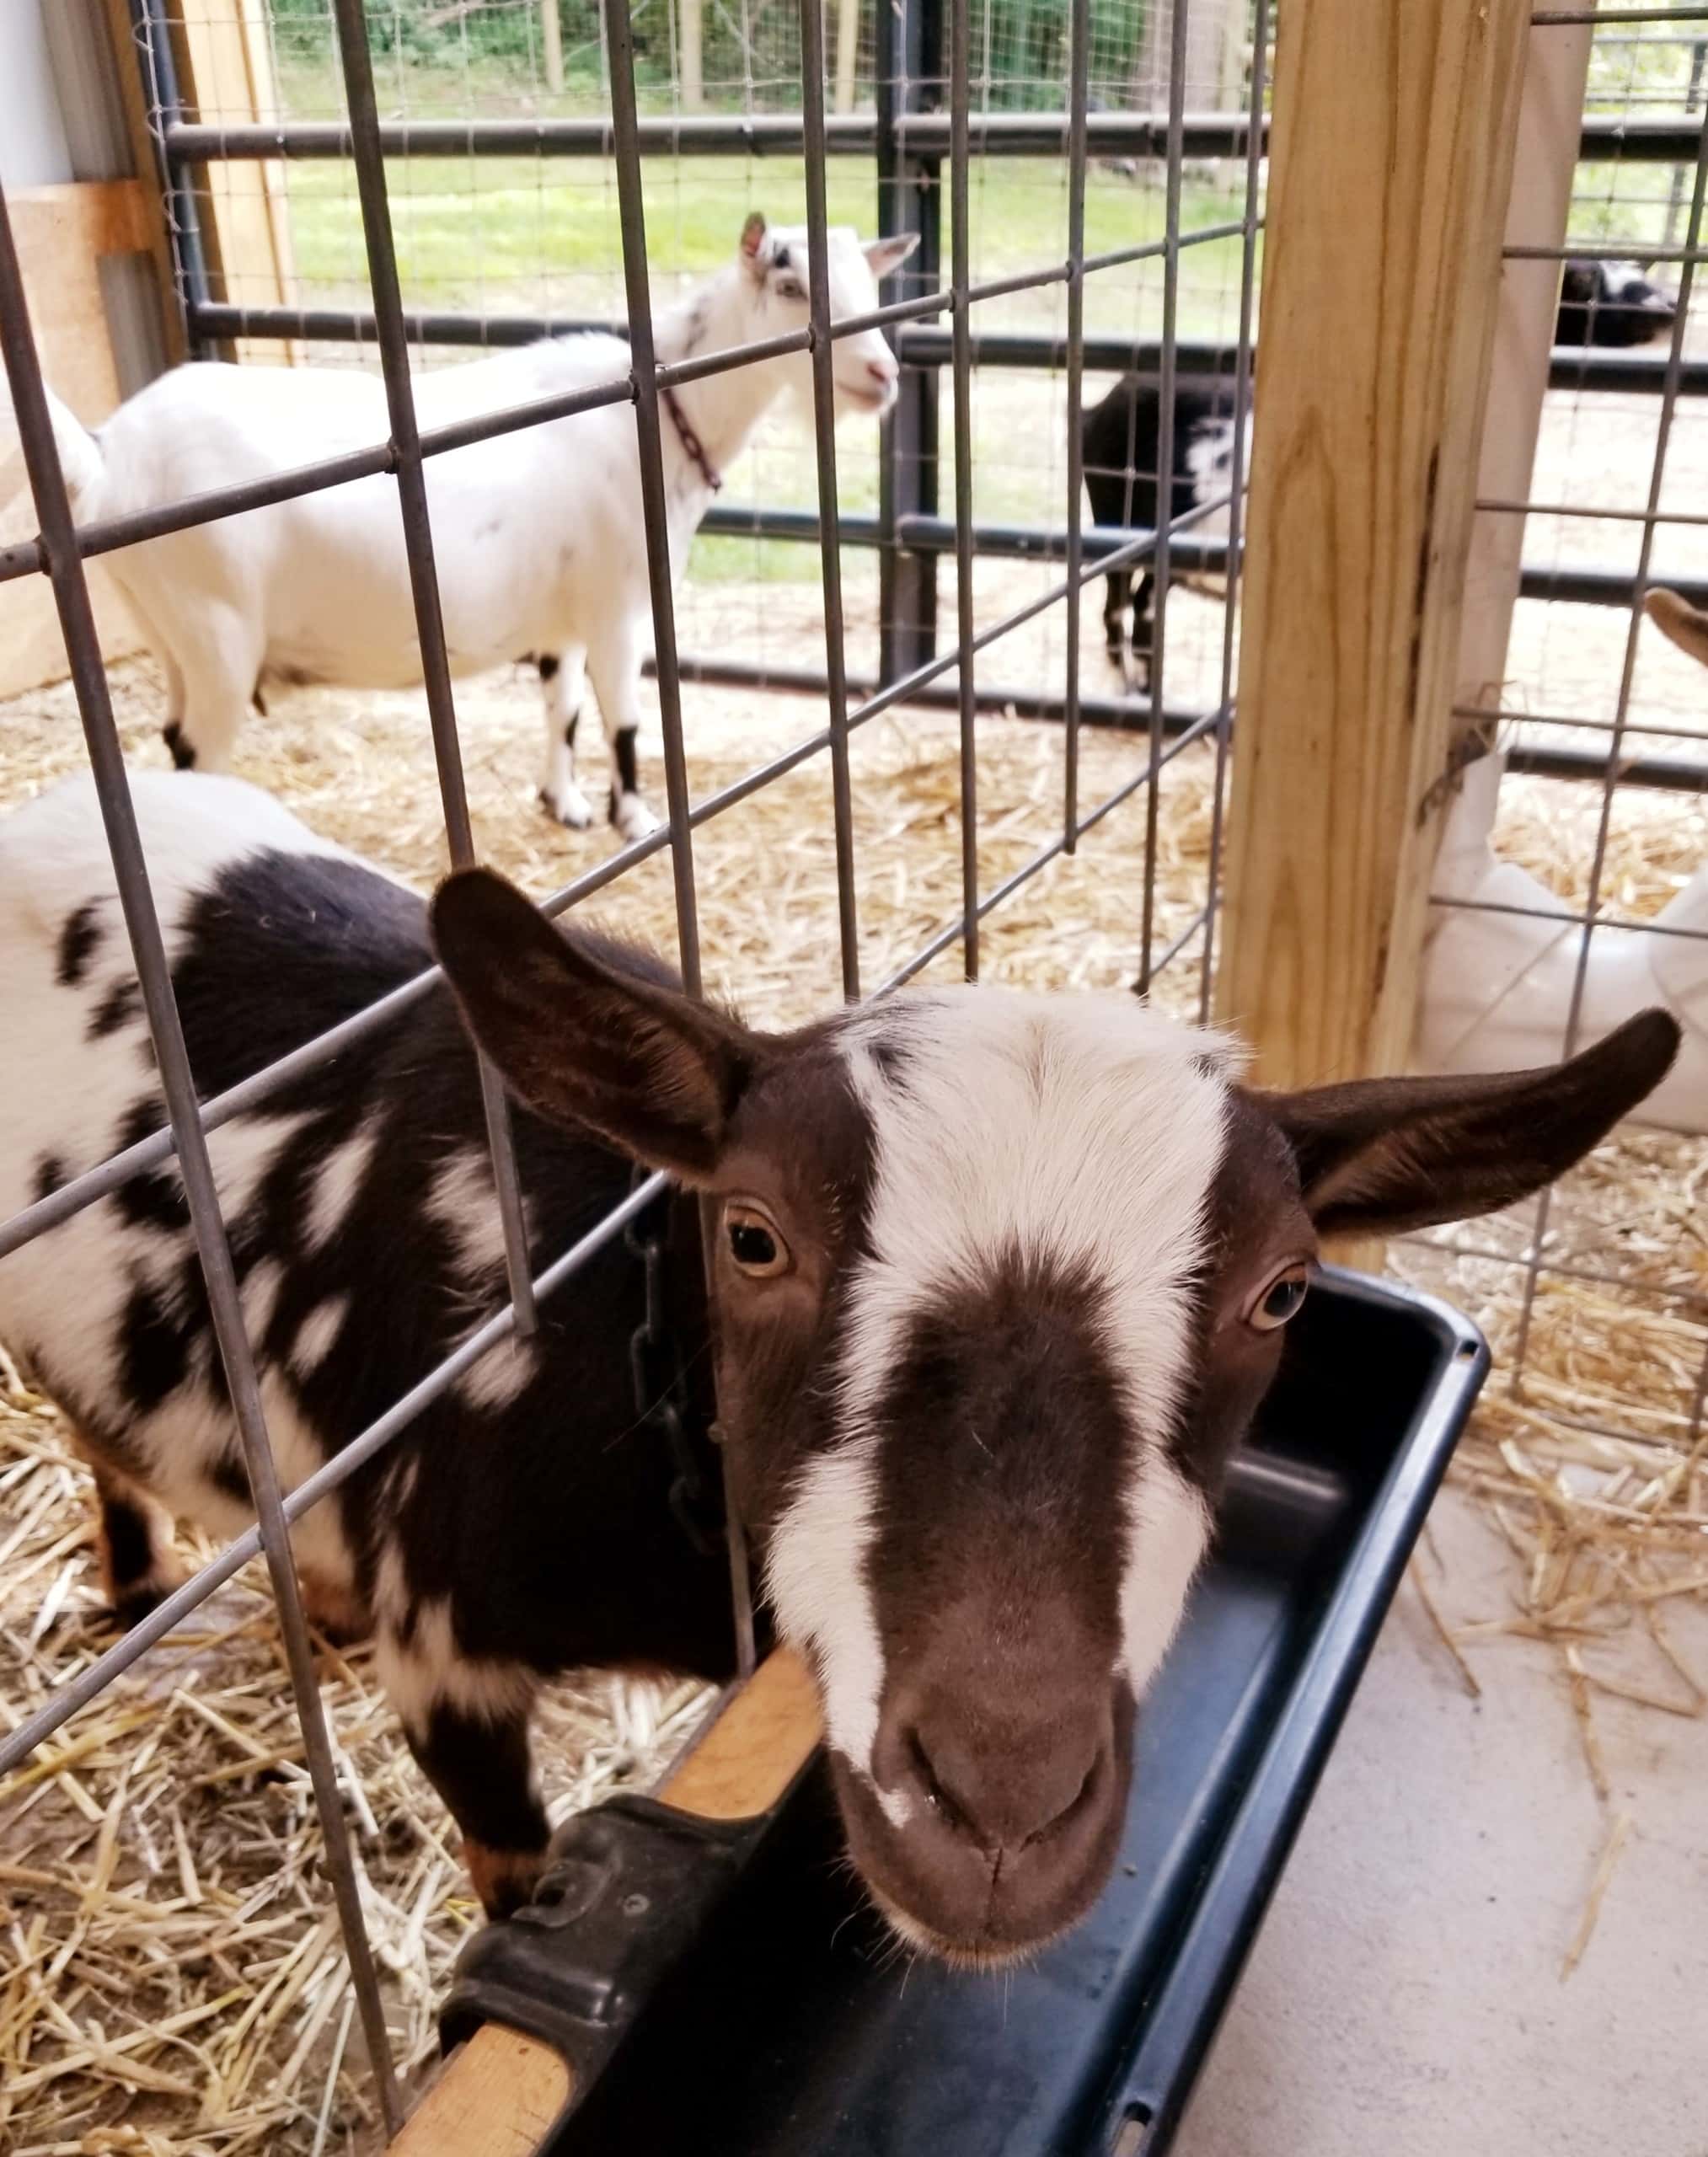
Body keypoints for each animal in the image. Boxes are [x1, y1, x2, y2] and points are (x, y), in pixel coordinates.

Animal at [0, 770, 1677, 1957]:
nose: (996, 1815)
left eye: (1280, 1292)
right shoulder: (450, 1653)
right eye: (750, 1235)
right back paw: (140, 1588)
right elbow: (514, 1874)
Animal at [22, 214, 917, 844]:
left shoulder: (563, 617)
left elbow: (564, 709)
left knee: (172, 741)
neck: (660, 411)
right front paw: (636, 818)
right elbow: (625, 719)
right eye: (791, 288)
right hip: (216, 629)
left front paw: (564, 803)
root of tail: (109, 454)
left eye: (871, 289)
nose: (883, 375)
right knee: (197, 749)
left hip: (169, 632)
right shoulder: (617, 601)